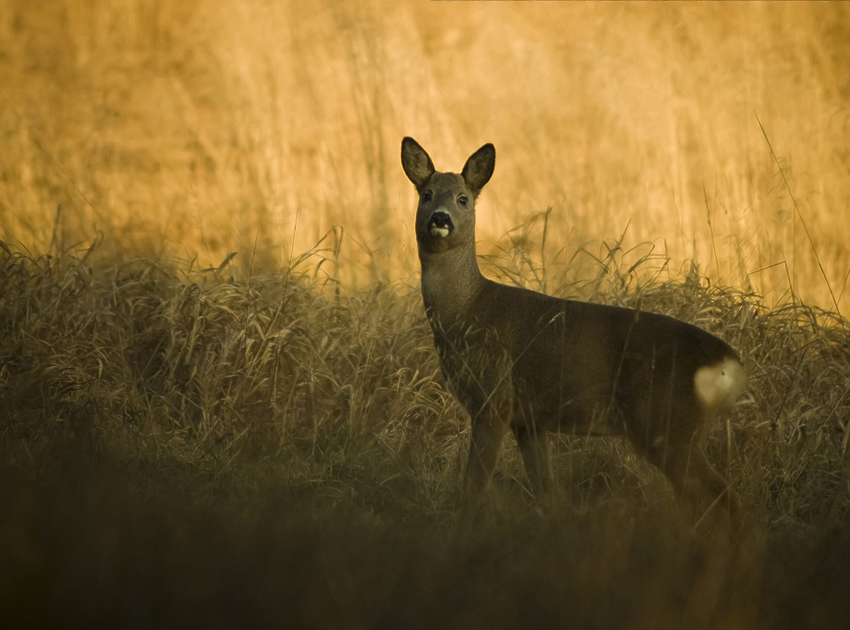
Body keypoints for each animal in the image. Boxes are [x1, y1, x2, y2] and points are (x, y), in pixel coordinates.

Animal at [400, 137, 744, 524]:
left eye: (463, 198)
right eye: (426, 194)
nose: (440, 218)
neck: (467, 310)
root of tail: (728, 364)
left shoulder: (494, 398)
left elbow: (473, 486)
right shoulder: (529, 419)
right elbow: (549, 494)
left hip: (668, 423)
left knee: (726, 499)